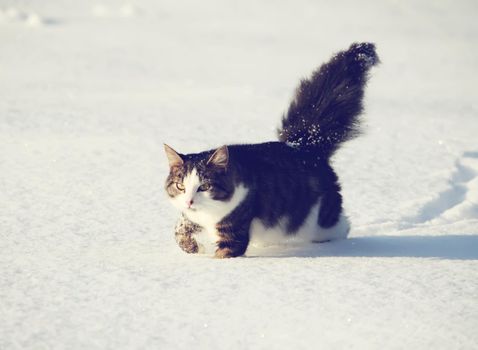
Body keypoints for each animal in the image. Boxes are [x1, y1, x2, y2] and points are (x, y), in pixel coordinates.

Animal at [162, 42, 380, 258]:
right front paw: (192, 248)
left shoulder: (234, 228)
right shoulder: (194, 218)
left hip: (319, 220)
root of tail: (305, 145)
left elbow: (224, 253)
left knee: (341, 226)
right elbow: (179, 228)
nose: (189, 201)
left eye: (205, 186)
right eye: (180, 186)